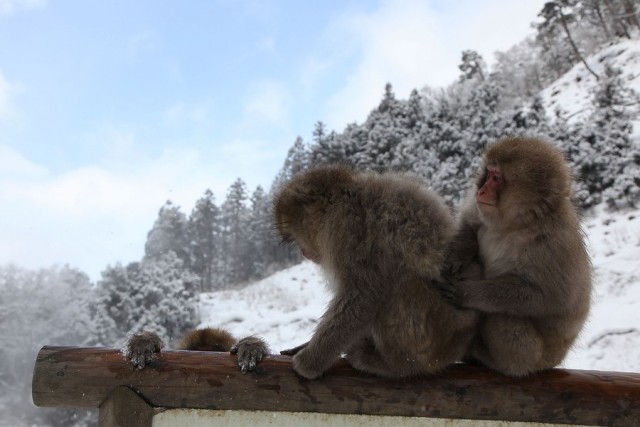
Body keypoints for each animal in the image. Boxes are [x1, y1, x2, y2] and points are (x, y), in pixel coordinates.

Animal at [272, 165, 478, 382]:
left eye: (295, 238)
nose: (303, 252)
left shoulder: (347, 229)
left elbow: (364, 295)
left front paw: (310, 361)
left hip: (439, 333)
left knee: (399, 284)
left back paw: (394, 365)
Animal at [440, 138, 596, 378]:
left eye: (497, 178)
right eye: (487, 173)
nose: (481, 190)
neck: (517, 224)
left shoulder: (555, 245)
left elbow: (551, 299)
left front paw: (467, 292)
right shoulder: (479, 209)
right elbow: (470, 221)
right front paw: (459, 253)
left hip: (536, 357)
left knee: (504, 319)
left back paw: (489, 359)